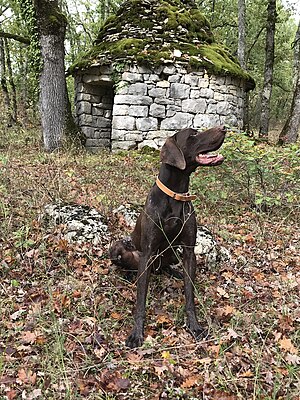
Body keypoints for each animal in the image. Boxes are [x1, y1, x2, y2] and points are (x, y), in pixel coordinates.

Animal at [109, 126, 225, 346]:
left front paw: (194, 326)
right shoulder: (147, 252)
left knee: (165, 267)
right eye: (193, 134)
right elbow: (141, 300)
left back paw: (174, 272)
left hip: (173, 253)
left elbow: (189, 295)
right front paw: (136, 333)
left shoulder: (188, 251)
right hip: (119, 248)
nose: (224, 128)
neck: (175, 196)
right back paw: (129, 275)